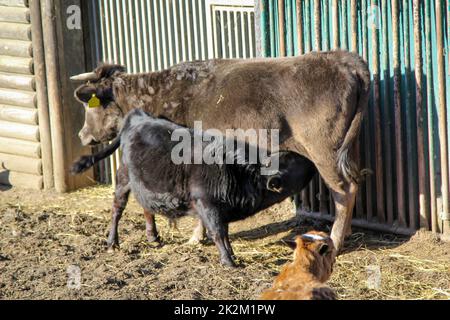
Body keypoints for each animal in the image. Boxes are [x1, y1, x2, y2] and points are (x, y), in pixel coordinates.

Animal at [72, 50, 370, 255]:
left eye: (89, 106)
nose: (81, 135)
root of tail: (342, 58)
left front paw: (194, 236)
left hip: (325, 152)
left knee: (345, 190)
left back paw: (335, 240)